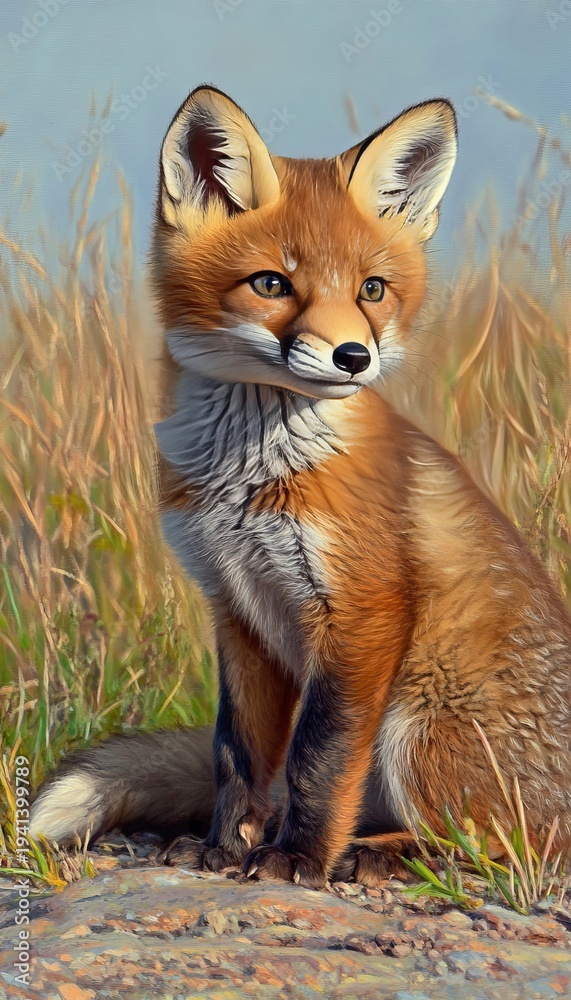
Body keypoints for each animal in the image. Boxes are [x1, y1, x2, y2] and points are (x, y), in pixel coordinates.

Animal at [29, 86, 571, 889]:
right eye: (271, 284)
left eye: (372, 290)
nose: (352, 357)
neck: (247, 480)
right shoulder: (238, 611)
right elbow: (239, 752)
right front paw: (227, 847)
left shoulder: (362, 611)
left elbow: (319, 757)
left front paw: (298, 857)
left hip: (420, 724)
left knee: (504, 843)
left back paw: (381, 852)